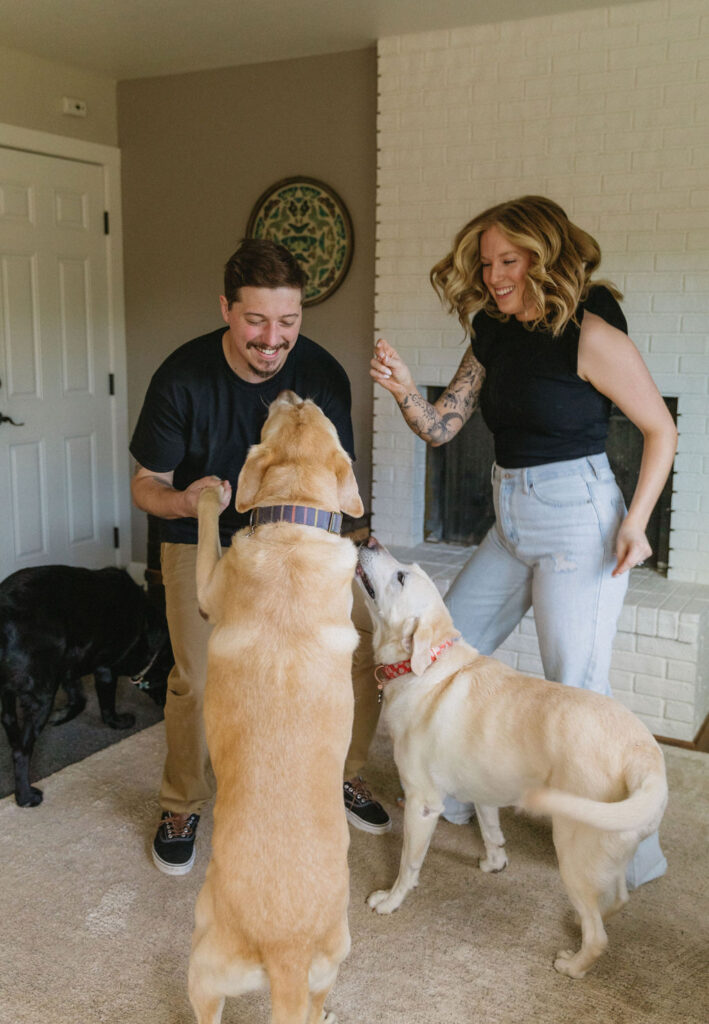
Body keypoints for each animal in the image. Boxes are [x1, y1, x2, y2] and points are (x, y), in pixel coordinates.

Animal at [0, 565, 172, 802]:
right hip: (41, 695)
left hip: (10, 692)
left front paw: (62, 715)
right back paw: (26, 797)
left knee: (8, 720)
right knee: (21, 752)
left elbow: (79, 698)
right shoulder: (105, 670)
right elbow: (106, 707)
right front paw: (119, 722)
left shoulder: (70, 665)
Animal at [356, 536, 668, 974]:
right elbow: (491, 832)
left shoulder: (423, 804)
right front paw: (494, 863)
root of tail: (645, 756)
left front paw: (390, 900)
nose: (368, 539)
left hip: (573, 850)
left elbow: (408, 864)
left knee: (599, 937)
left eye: (401, 576)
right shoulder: (483, 791)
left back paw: (573, 964)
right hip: (611, 847)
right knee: (618, 898)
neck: (428, 666)